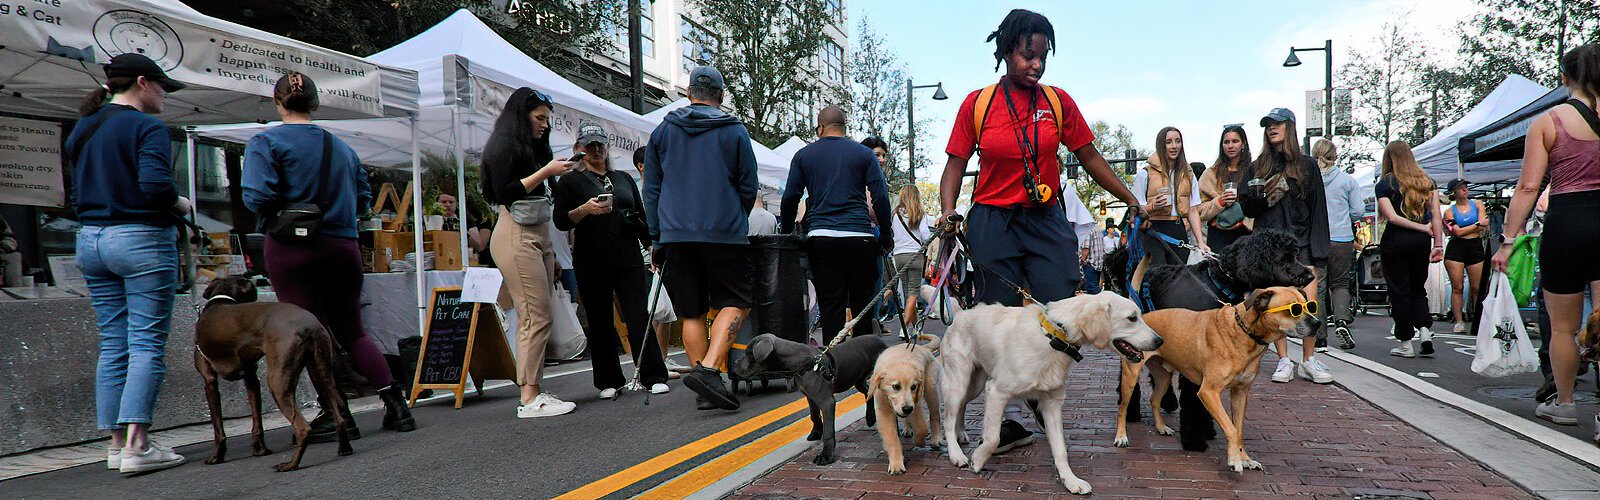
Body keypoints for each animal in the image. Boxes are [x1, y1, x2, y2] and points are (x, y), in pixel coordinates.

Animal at [195, 275, 352, 471]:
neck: (222, 298)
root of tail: (309, 324)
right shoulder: (251, 379)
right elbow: (257, 422)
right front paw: (260, 450)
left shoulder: (209, 381)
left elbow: (218, 427)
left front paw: (217, 456)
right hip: (321, 373)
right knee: (339, 417)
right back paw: (344, 449)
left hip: (277, 381)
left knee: (303, 429)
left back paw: (291, 464)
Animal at [732, 333, 889, 467]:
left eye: (749, 353)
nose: (734, 364)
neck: (804, 364)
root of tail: (879, 338)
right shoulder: (810, 396)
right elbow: (814, 415)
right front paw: (816, 432)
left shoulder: (826, 401)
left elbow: (828, 432)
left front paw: (826, 456)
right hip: (858, 380)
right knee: (868, 392)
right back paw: (870, 418)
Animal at [870, 333, 940, 474]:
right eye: (896, 386)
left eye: (914, 387)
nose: (907, 408)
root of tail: (923, 348)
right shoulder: (883, 410)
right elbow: (892, 438)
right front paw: (896, 464)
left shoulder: (915, 404)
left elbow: (922, 427)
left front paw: (919, 442)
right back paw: (907, 428)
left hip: (931, 388)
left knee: (935, 415)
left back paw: (936, 439)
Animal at [934, 291, 1164, 493]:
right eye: (1132, 318)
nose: (1160, 341)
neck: (1053, 338)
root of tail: (961, 312)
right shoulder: (998, 392)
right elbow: (992, 438)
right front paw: (978, 460)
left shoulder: (1052, 402)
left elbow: (1061, 449)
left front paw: (1071, 481)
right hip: (959, 382)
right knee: (948, 418)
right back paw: (956, 454)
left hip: (974, 384)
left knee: (961, 408)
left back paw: (961, 434)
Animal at [1107, 285, 1318, 471]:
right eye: (1293, 309)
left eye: (1309, 305)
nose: (1317, 323)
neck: (1244, 332)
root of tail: (1142, 318)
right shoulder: (1209, 392)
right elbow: (1231, 428)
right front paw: (1235, 460)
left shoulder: (1240, 393)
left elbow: (1238, 430)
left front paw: (1245, 459)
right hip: (1130, 376)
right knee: (1122, 409)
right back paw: (1121, 437)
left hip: (1163, 377)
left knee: (1154, 399)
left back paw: (1161, 427)